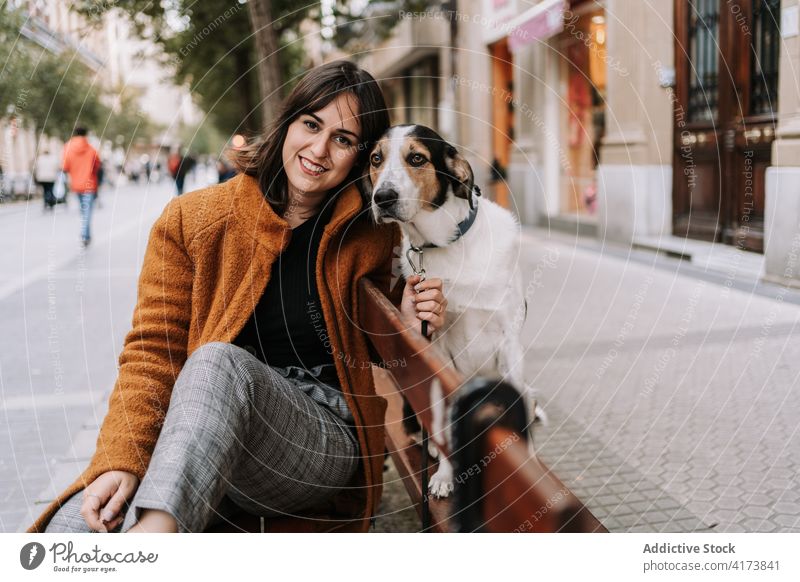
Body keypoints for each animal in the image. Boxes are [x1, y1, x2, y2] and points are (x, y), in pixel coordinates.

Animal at [362, 125, 544, 500]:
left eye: (417, 158)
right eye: (376, 158)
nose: (382, 197)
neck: (447, 245)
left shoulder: (509, 344)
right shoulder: (437, 350)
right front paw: (445, 475)